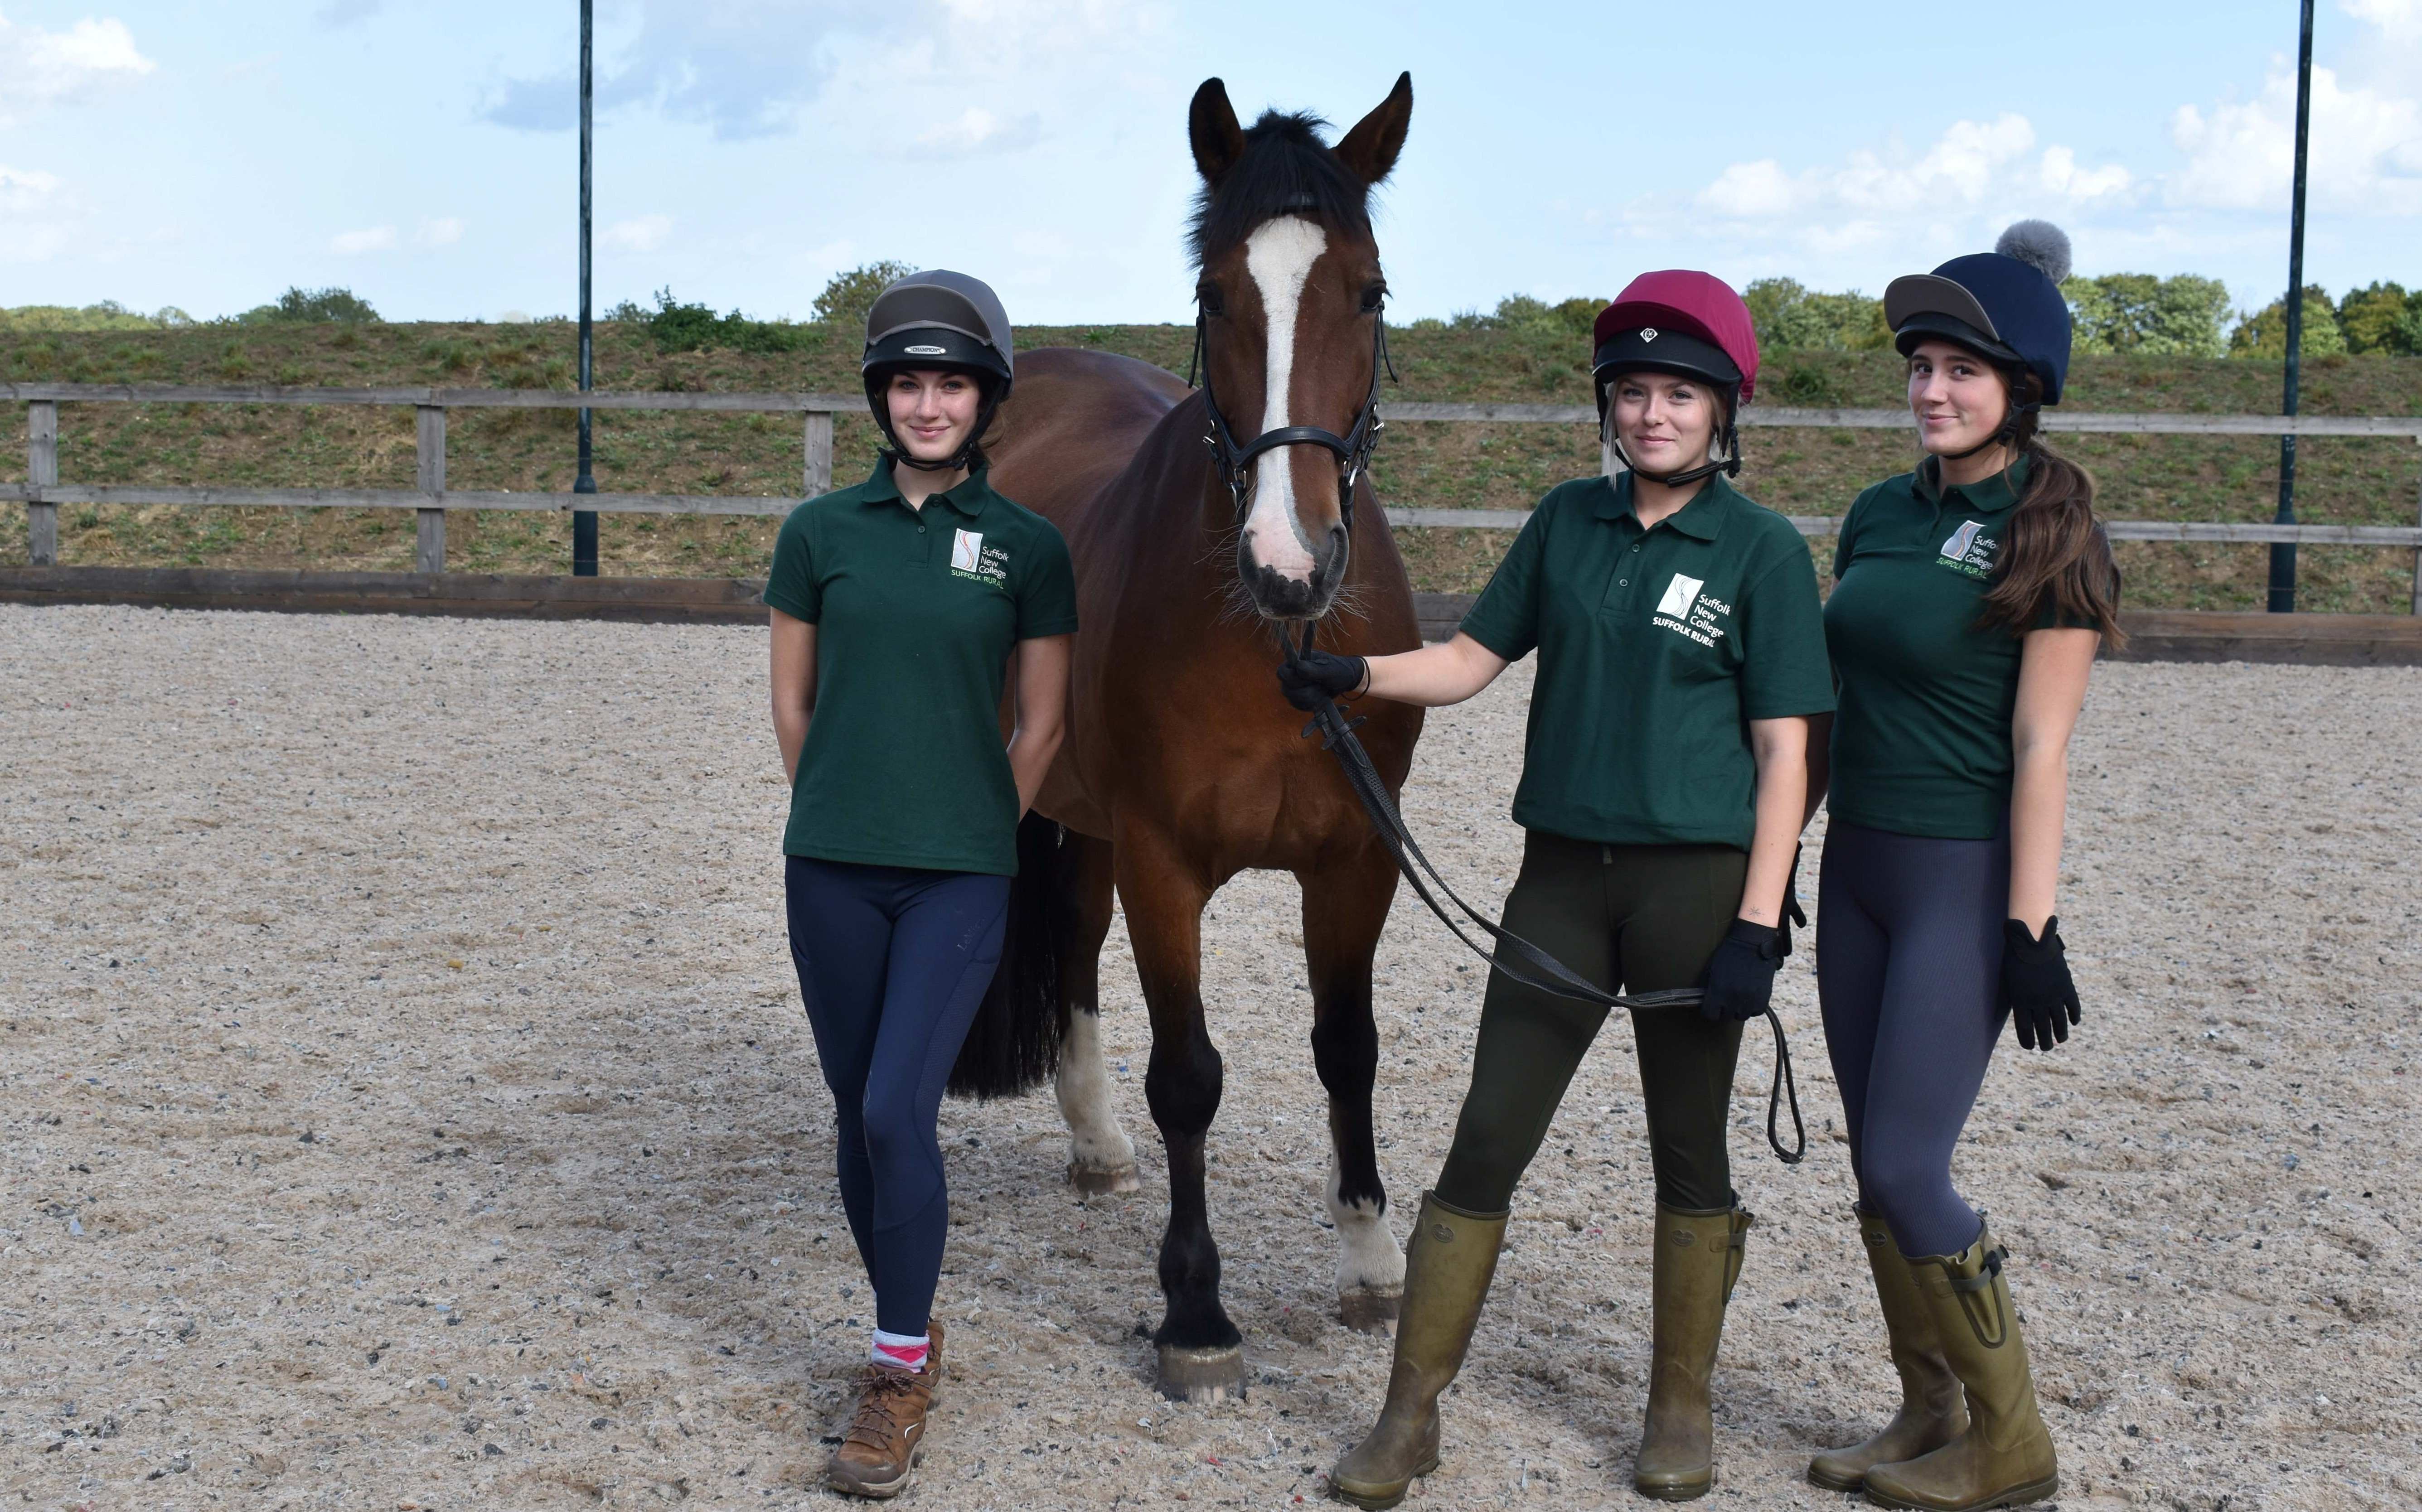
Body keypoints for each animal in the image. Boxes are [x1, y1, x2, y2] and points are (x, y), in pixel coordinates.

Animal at [946, 74, 1426, 1402]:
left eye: (1369, 289)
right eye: (1216, 294)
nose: (1288, 559)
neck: (1272, 642)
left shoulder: (1355, 861)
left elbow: (1347, 1047)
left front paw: (1370, 1258)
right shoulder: (1166, 861)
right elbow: (1192, 1076)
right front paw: (1196, 1310)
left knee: (1072, 934)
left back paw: (1098, 1141)